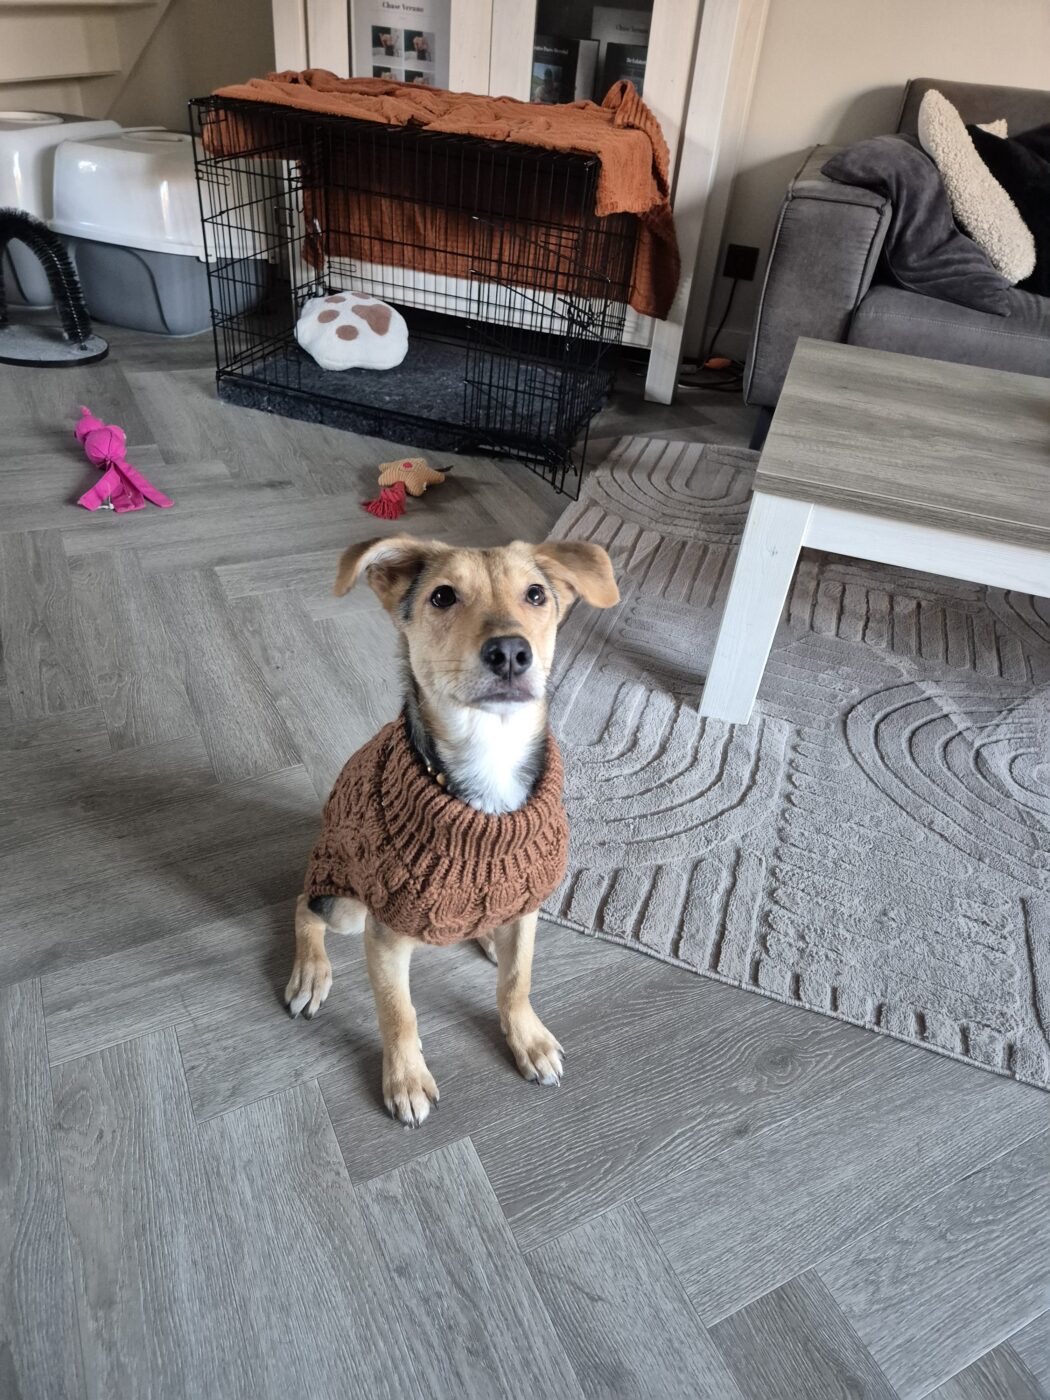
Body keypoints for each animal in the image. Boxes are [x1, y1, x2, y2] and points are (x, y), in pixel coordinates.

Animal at [284, 533, 618, 1125]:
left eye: (536, 594)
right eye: (442, 596)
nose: (509, 652)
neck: (490, 754)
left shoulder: (527, 904)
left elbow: (517, 982)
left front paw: (528, 1039)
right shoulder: (385, 935)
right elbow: (399, 1013)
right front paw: (406, 1079)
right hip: (345, 902)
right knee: (304, 903)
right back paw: (310, 973)